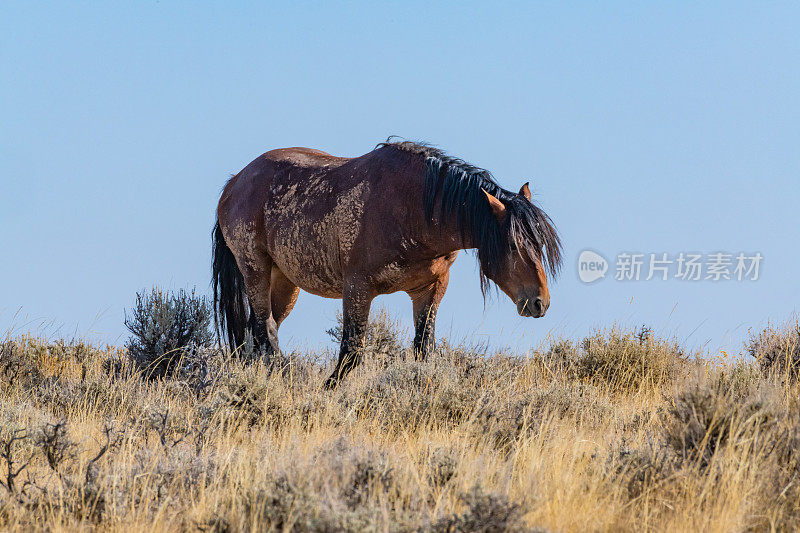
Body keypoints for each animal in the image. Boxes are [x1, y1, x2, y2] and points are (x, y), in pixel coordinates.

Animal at [212, 139, 564, 384]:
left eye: (539, 245)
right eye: (514, 246)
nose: (540, 302)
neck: (414, 208)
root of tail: (235, 182)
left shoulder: (430, 289)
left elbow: (423, 349)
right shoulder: (357, 288)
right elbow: (351, 352)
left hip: (285, 283)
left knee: (256, 334)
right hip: (255, 269)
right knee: (264, 330)